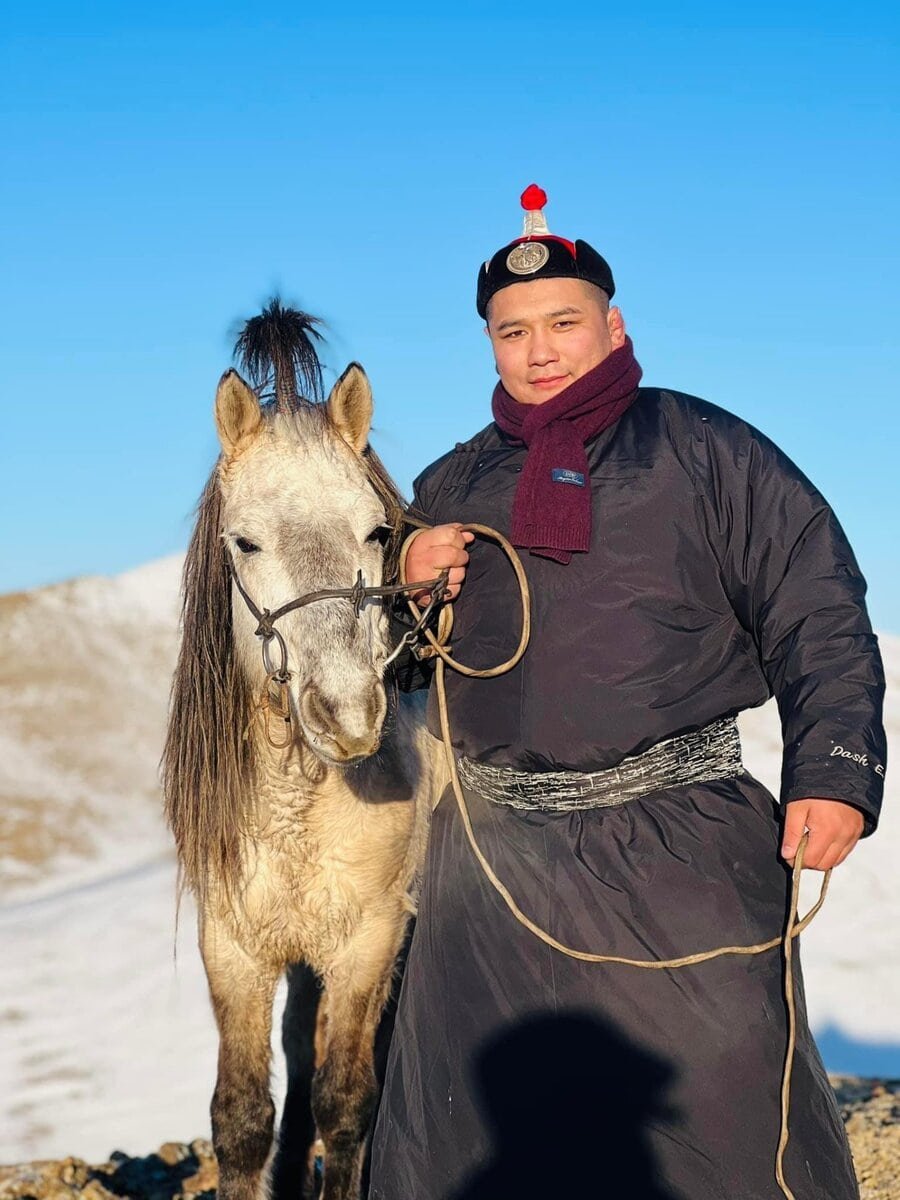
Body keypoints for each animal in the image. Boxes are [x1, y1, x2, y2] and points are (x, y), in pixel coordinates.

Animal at [163, 302, 445, 1200]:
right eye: (245, 543)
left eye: (378, 530)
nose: (348, 714)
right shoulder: (235, 944)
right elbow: (242, 1115)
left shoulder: (368, 941)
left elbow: (346, 1102)